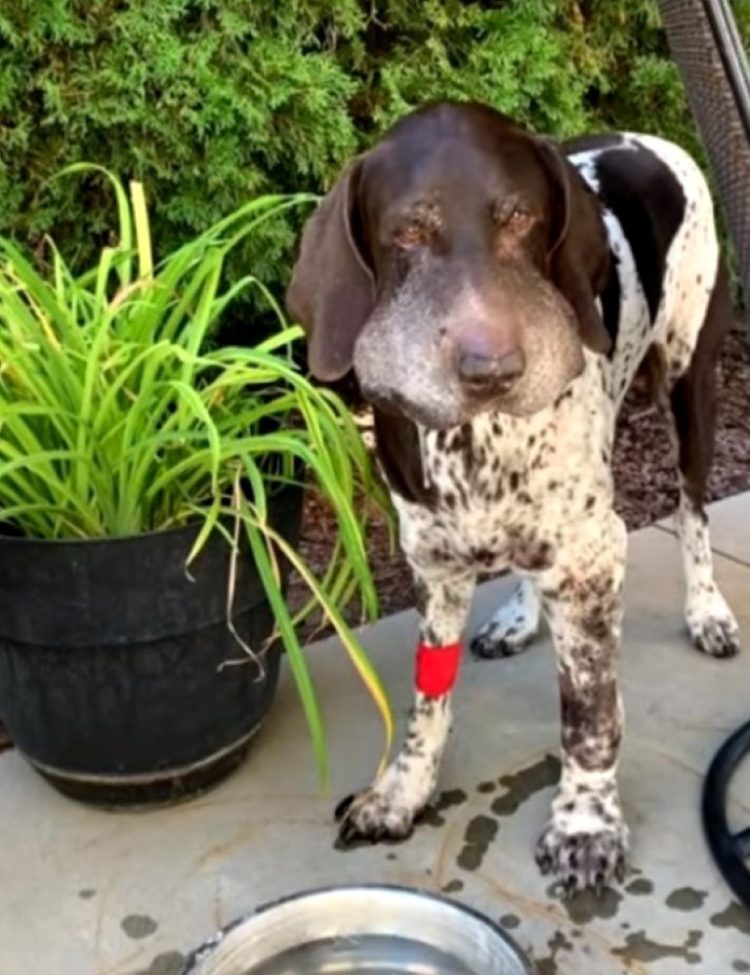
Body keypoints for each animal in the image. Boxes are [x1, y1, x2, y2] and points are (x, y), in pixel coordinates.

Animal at [284, 103, 744, 896]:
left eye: (521, 217)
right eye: (409, 231)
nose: (492, 368)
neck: (478, 443)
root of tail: (647, 139)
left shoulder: (592, 555)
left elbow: (589, 711)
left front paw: (585, 822)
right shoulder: (434, 562)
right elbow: (427, 699)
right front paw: (404, 790)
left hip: (691, 383)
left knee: (692, 510)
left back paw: (706, 609)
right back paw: (523, 617)